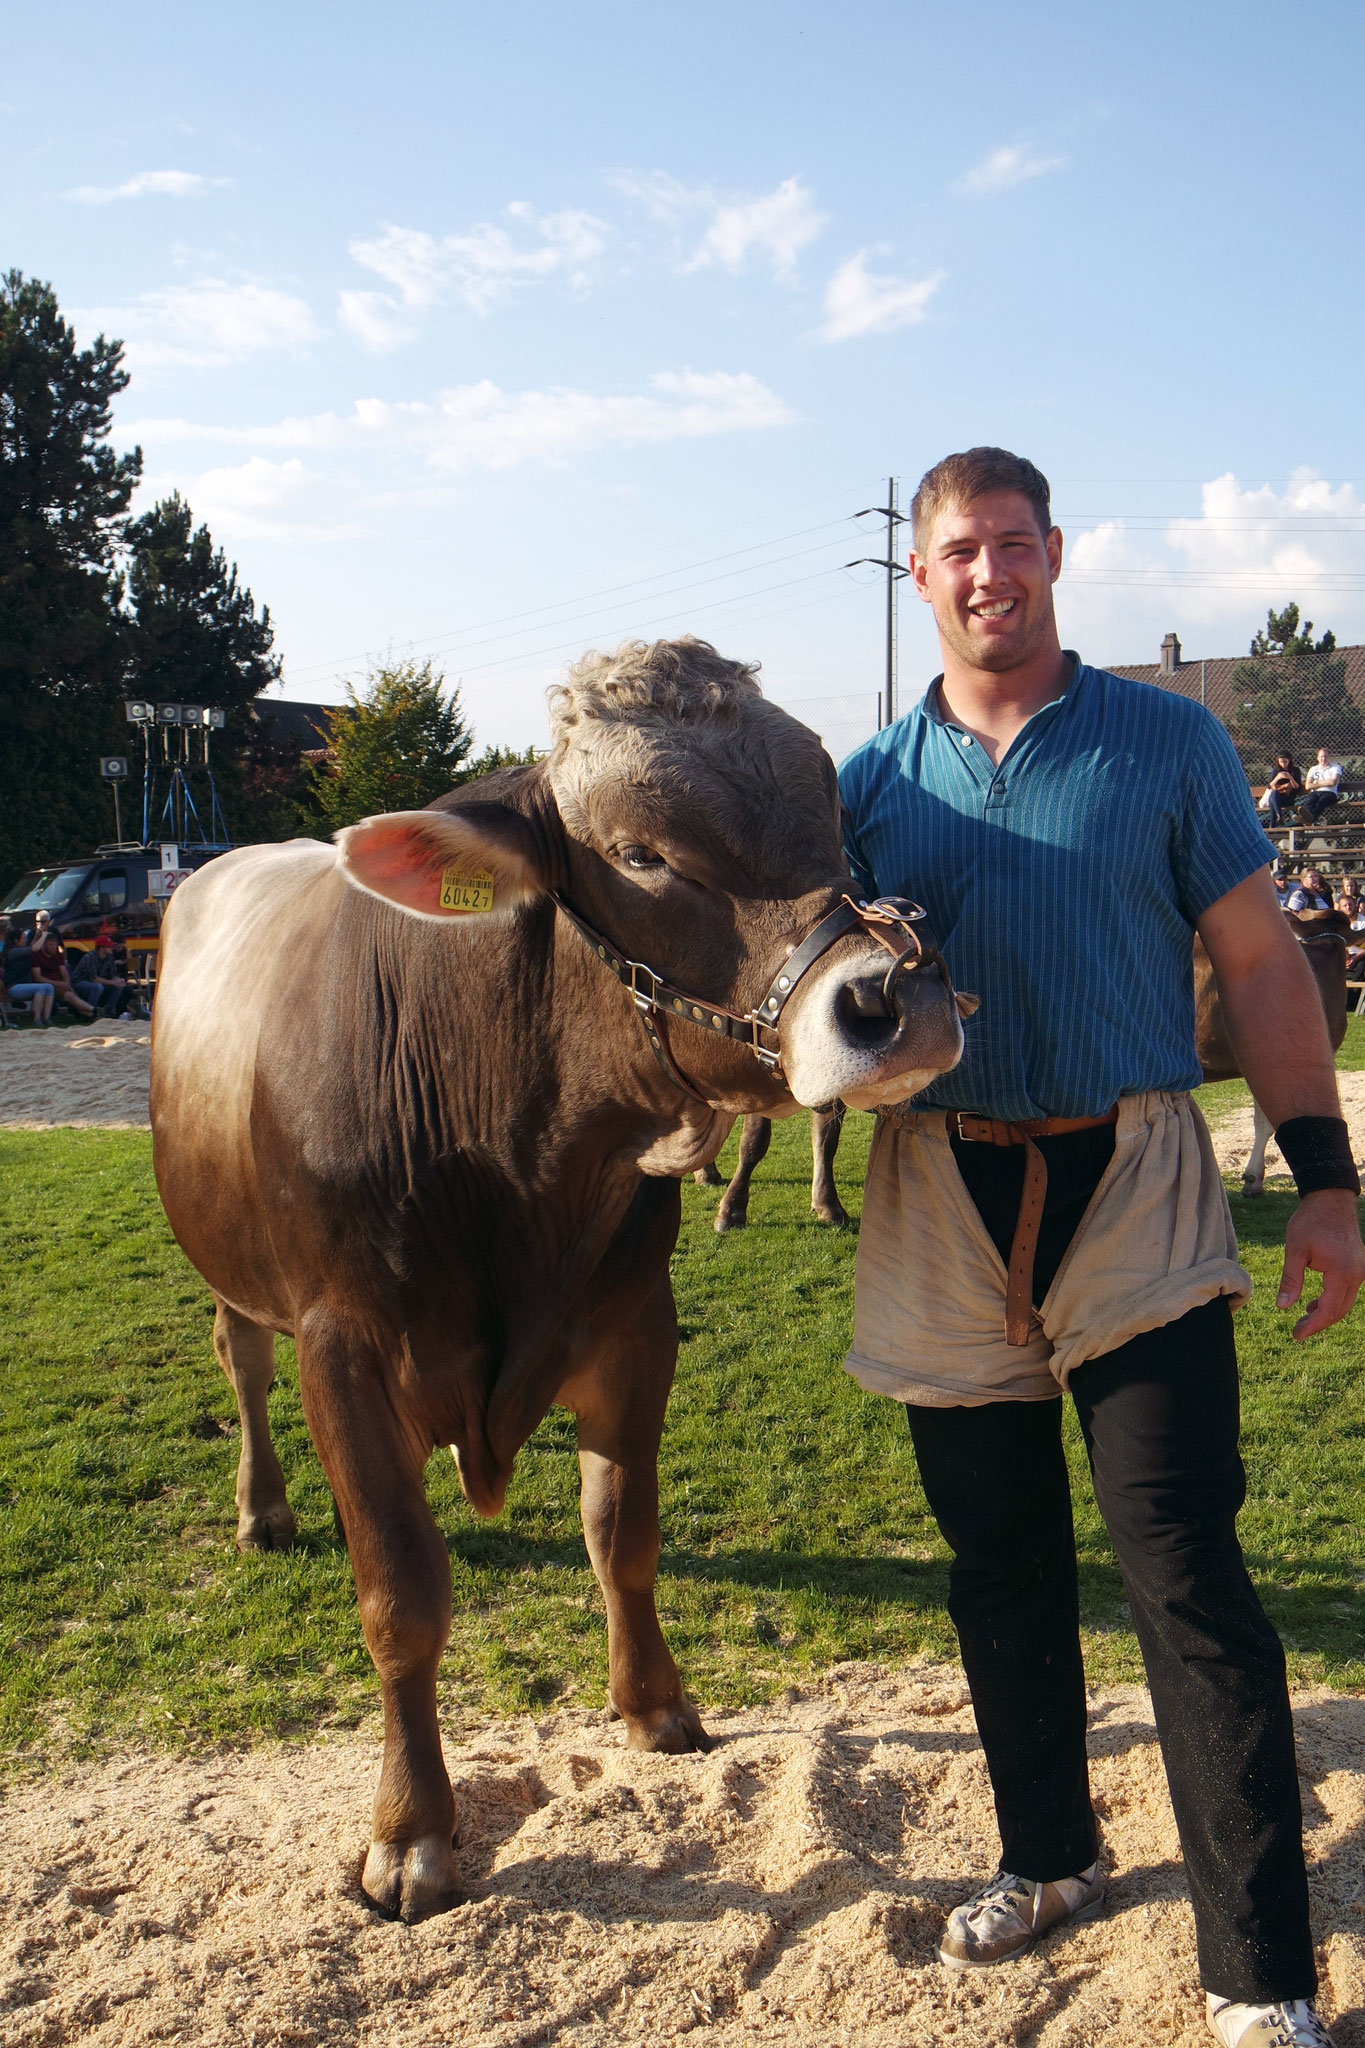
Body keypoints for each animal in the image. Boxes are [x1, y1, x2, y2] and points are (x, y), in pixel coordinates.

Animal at [149, 634, 965, 1916]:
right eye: (639, 853)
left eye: (835, 819)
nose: (898, 997)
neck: (514, 1155)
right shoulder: (342, 1343)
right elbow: (400, 1591)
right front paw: (411, 1830)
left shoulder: (636, 1322)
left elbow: (619, 1530)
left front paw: (655, 1706)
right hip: (231, 1263)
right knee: (241, 1365)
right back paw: (264, 1507)